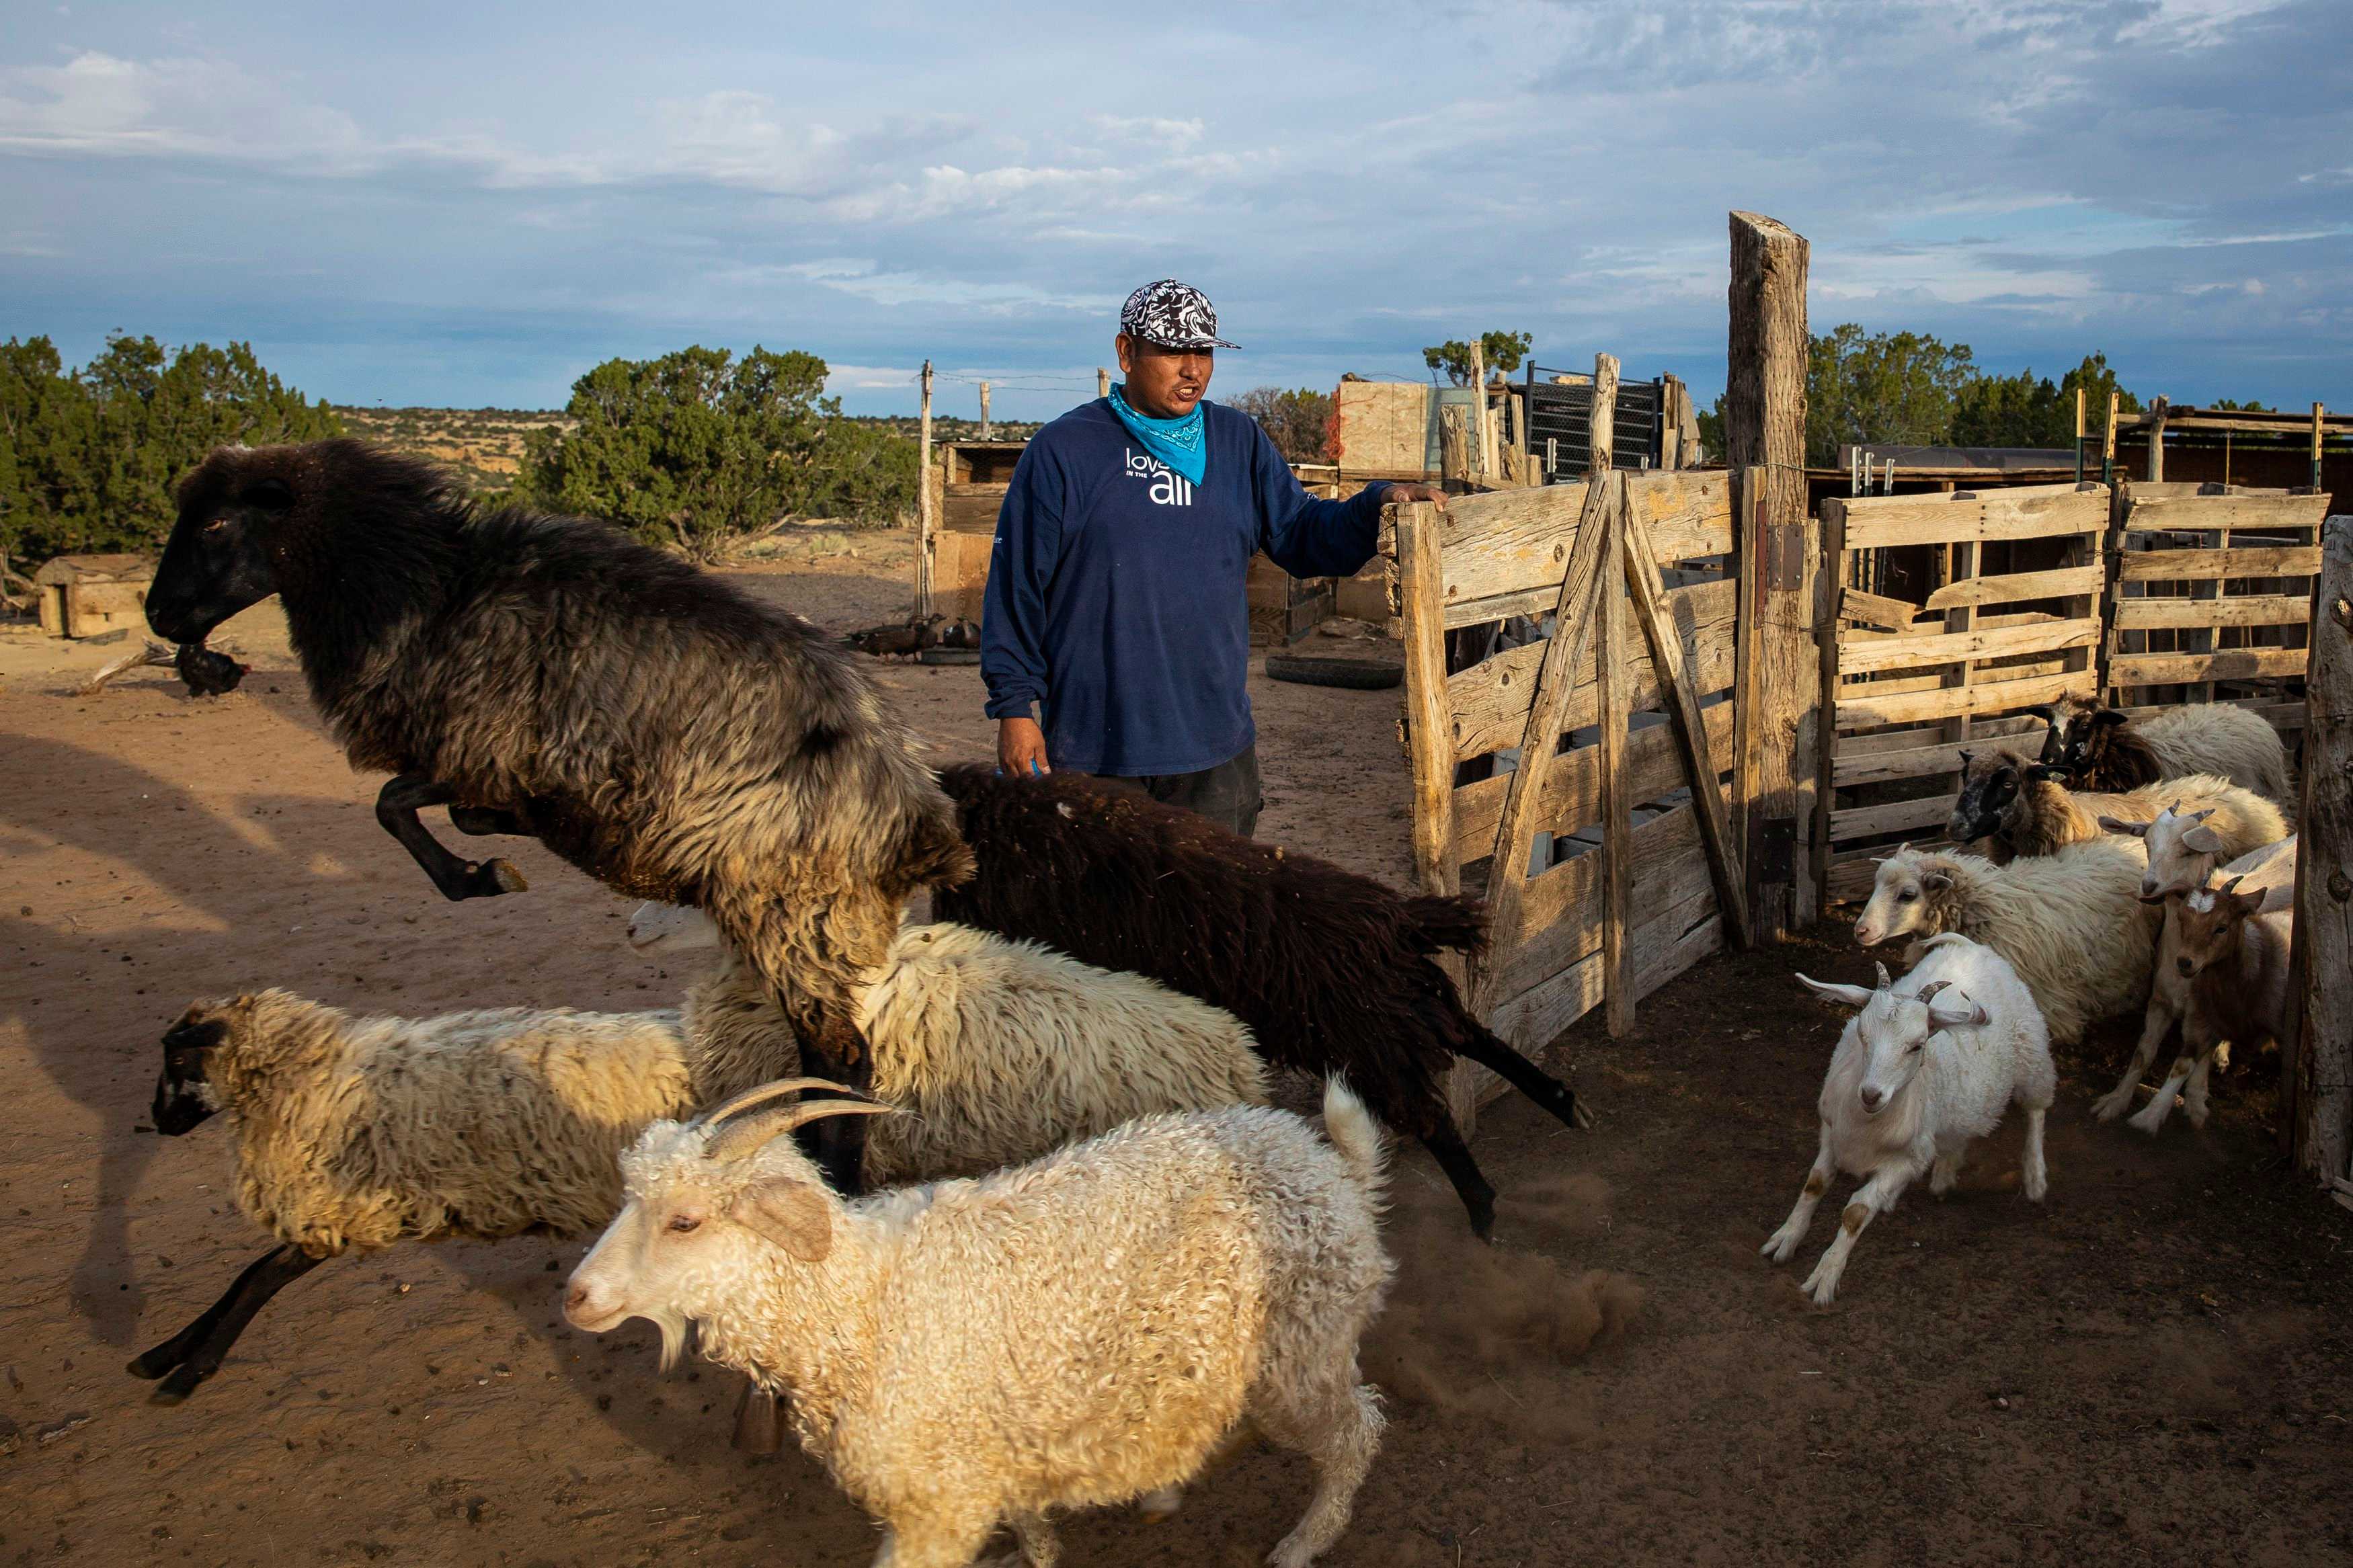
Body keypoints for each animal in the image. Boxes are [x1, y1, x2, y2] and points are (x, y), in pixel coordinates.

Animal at [142, 442, 969, 1189]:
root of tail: (914, 805)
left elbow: (394, 805)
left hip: (791, 908)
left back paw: (834, 1177)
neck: (426, 589)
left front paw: (479, 877)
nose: (157, 612)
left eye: (216, 523)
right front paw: (507, 852)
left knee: (844, 1059)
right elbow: (458, 813)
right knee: (827, 1059)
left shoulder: (480, 749)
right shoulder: (500, 767)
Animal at [565, 1081, 1393, 1568]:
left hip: (1303, 1352)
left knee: (1355, 1431)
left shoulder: (937, 1502)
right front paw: (1038, 1547)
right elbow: (1027, 1520)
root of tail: (1331, 1164)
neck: (862, 1307)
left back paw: (1300, 1543)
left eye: (685, 1220)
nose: (576, 1295)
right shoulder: (991, 1452)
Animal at [927, 761, 1591, 1241]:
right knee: (1476, 1035)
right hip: (1403, 1004)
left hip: (1370, 1040)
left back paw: (1485, 1211)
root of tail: (1399, 918)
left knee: (1432, 1112)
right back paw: (1564, 1105)